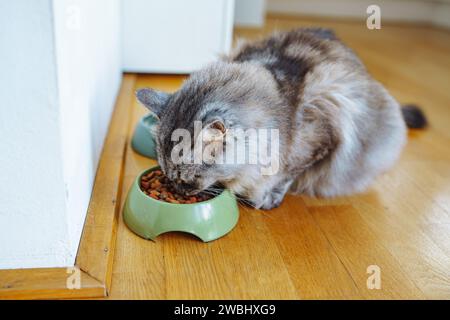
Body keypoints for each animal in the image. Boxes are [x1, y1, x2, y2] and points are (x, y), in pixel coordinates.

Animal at [135, 27, 428, 210]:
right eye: (167, 174)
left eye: (188, 178)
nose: (177, 191)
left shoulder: (318, 140)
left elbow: (285, 175)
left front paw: (268, 197)